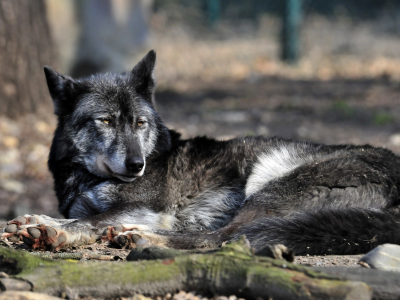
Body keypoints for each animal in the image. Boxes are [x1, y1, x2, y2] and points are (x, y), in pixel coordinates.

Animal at [2, 49, 400, 255]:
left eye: (140, 123)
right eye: (106, 121)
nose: (137, 165)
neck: (86, 178)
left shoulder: (147, 206)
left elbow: (90, 221)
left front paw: (55, 232)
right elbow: (74, 216)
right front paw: (35, 221)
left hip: (271, 184)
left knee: (228, 236)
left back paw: (144, 238)